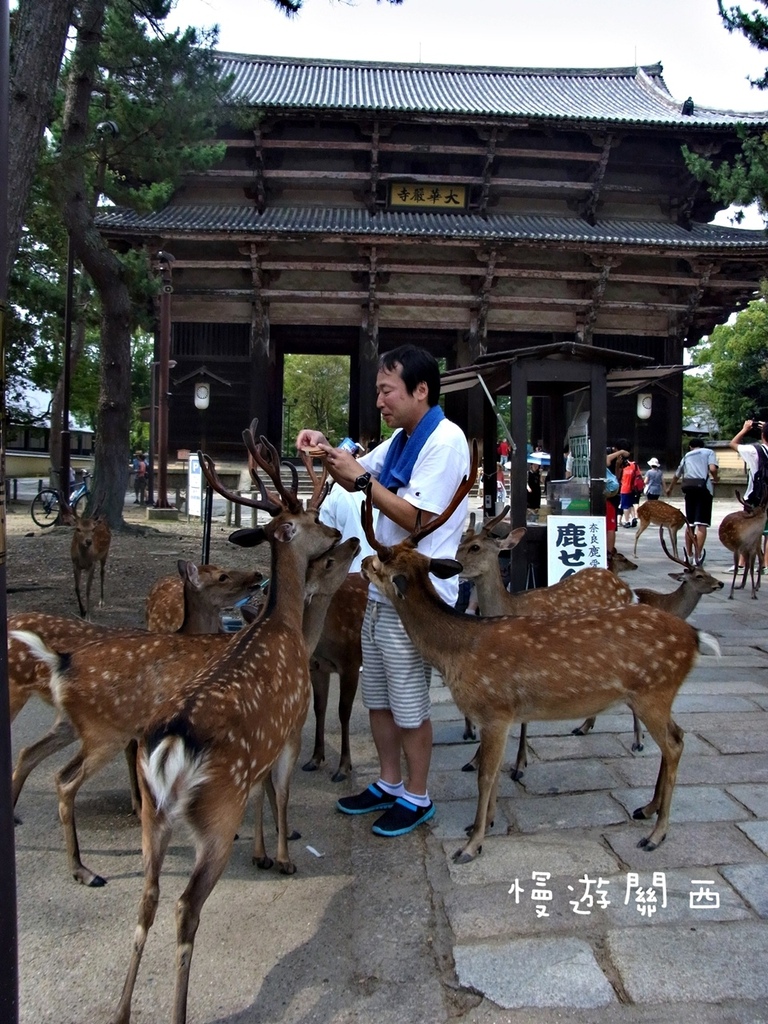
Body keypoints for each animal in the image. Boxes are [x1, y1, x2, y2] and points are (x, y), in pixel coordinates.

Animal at [358, 440, 720, 864]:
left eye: (381, 562)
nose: (363, 560)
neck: (458, 649)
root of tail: (692, 637)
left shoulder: (496, 709)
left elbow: (486, 774)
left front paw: (471, 844)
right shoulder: (502, 714)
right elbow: (493, 771)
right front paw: (485, 823)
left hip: (654, 692)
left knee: (676, 743)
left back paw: (656, 834)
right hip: (654, 694)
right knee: (678, 736)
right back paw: (646, 808)